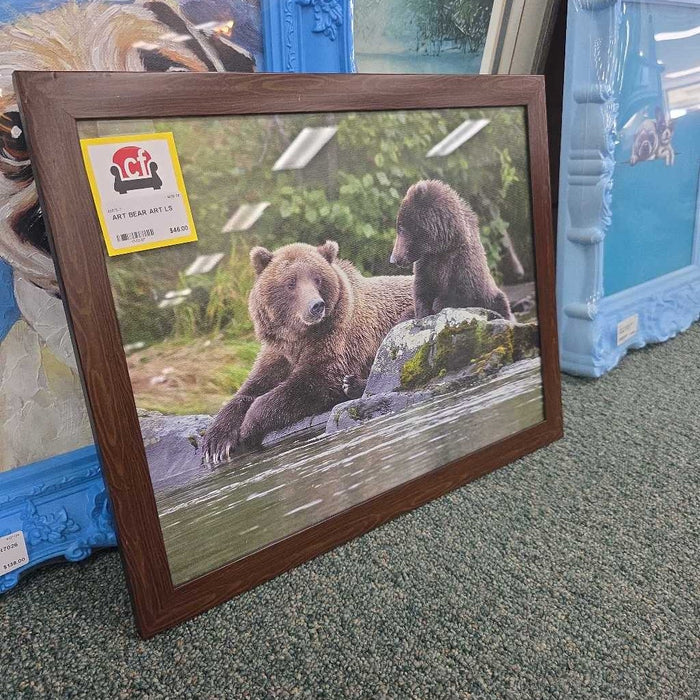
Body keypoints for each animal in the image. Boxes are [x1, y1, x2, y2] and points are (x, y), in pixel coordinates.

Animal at [202, 240, 414, 463]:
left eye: (317, 279)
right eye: (291, 282)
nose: (316, 305)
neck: (299, 337)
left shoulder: (336, 341)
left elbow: (312, 381)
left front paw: (248, 425)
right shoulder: (278, 354)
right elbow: (251, 387)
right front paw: (216, 443)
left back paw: (352, 384)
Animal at [390, 180, 513, 321]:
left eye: (401, 227)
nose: (394, 259)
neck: (442, 246)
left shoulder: (461, 263)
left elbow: (462, 293)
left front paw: (438, 304)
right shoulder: (426, 265)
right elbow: (421, 292)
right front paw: (424, 312)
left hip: (495, 299)